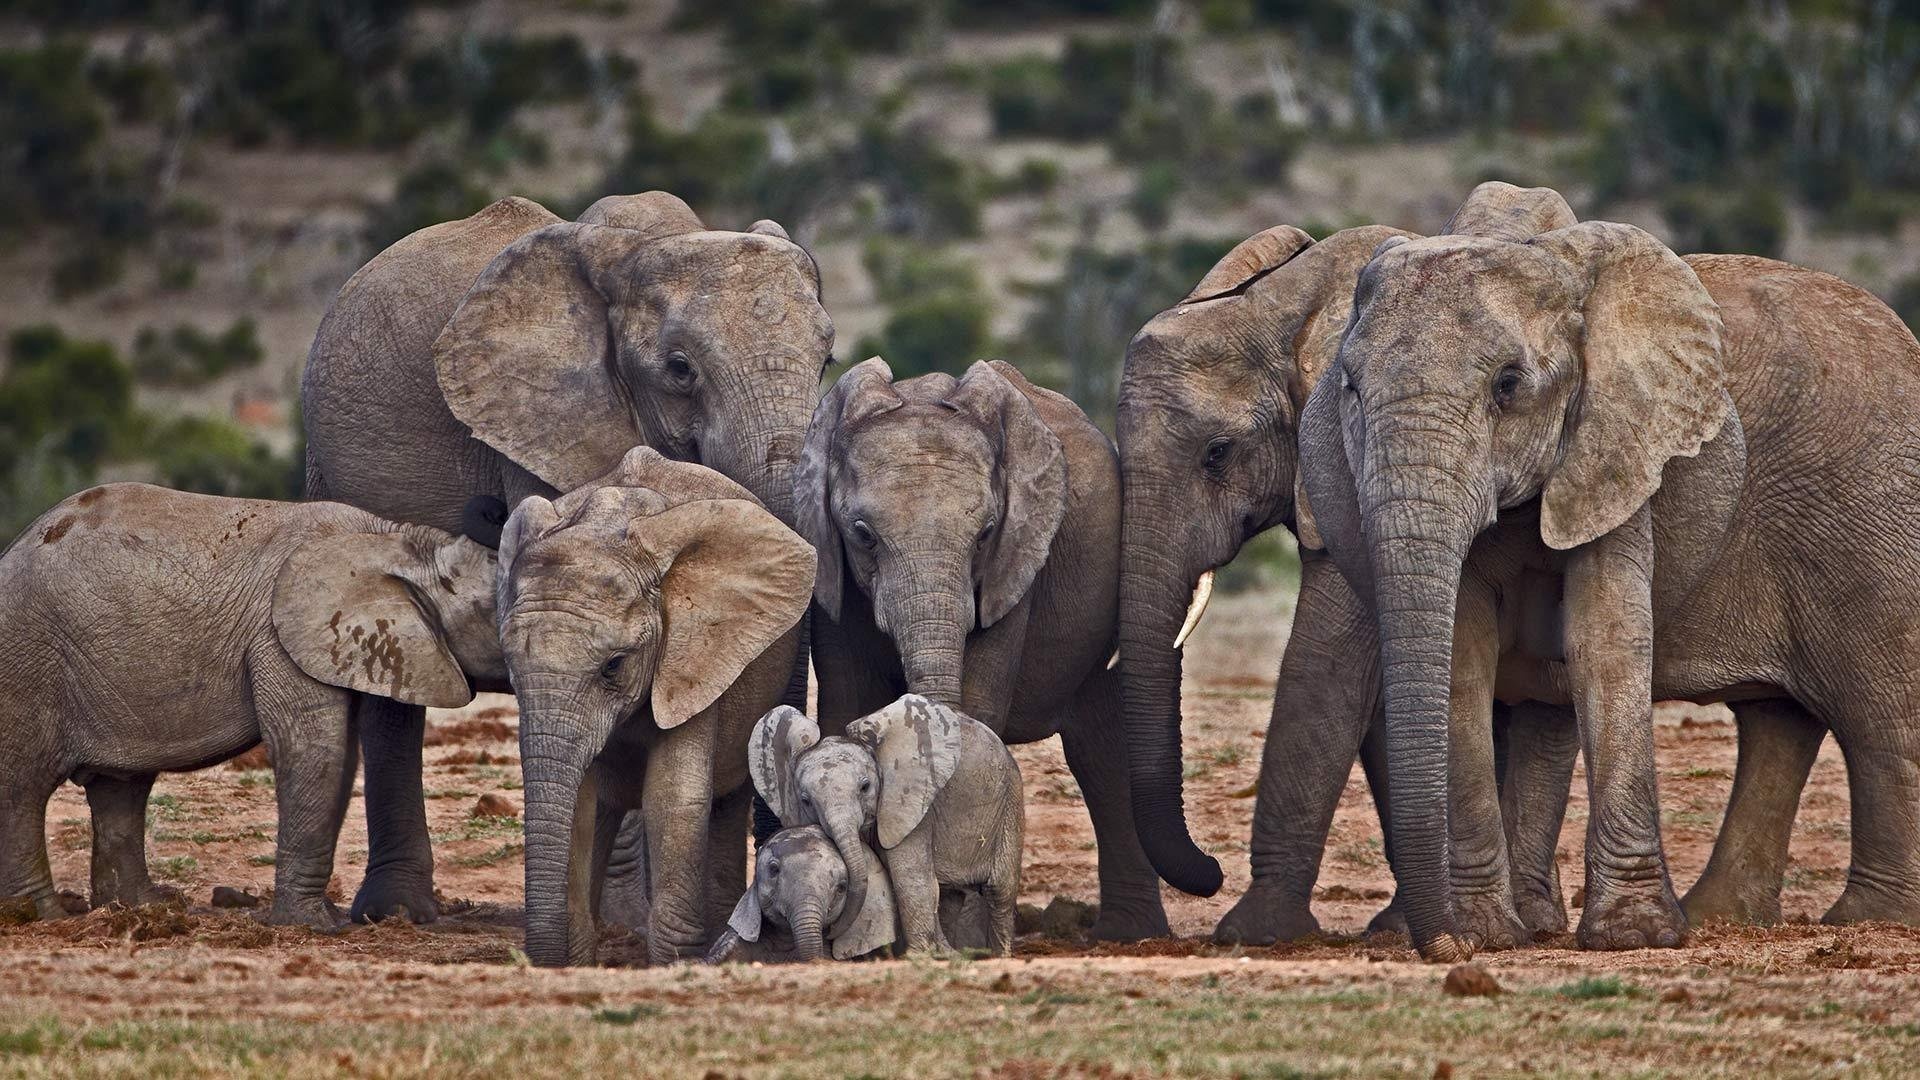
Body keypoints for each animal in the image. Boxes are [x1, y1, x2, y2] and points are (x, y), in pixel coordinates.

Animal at [0, 480, 503, 926]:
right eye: (493, 610)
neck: (399, 541)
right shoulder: (278, 640)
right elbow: (313, 749)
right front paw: (313, 926)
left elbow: (340, 757)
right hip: (27, 661)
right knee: (22, 788)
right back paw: (41, 918)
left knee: (120, 787)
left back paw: (144, 909)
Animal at [303, 191, 829, 914]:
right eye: (680, 369)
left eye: (828, 359)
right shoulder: (534, 426)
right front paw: (623, 918)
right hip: (327, 469)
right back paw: (397, 911)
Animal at [748, 687, 1021, 949]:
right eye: (805, 800)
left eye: (865, 787)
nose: (832, 933)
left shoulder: (910, 804)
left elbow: (910, 878)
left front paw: (918, 955)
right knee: (950, 892)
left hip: (1010, 800)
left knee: (999, 890)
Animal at [1297, 197, 1920, 953]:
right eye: (1350, 389)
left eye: (1508, 385)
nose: (1448, 947)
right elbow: (1465, 655)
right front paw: (1491, 934)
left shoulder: (1621, 446)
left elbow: (1605, 638)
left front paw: (1633, 934)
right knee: (1781, 720)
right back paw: (1721, 917)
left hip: (1869, 511)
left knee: (1878, 712)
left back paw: (1871, 920)